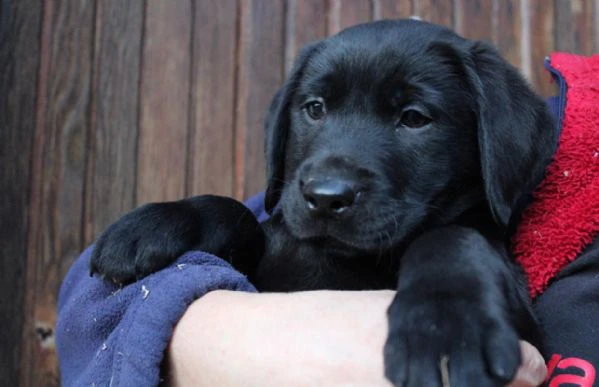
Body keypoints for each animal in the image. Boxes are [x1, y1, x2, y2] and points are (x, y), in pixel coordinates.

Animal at [91, 19, 556, 386]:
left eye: (414, 118)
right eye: (315, 109)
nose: (326, 198)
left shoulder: (529, 334)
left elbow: (452, 237)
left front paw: (445, 325)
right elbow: (241, 214)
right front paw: (158, 223)